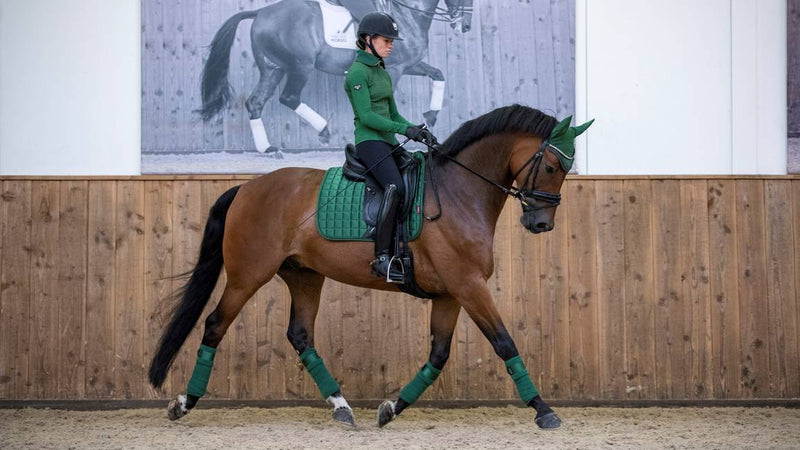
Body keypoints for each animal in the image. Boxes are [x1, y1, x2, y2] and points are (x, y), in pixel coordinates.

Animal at [150, 104, 592, 428]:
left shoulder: (450, 293)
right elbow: (504, 343)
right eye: (551, 167)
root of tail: (246, 187)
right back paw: (184, 403)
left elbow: (438, 356)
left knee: (301, 336)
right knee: (215, 325)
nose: (541, 224)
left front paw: (391, 409)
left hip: (305, 276)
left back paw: (342, 407)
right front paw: (543, 410)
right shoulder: (469, 285)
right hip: (247, 276)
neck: (459, 192)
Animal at [200, 0, 472, 153]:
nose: (465, 25)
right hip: (300, 66)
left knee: (256, 102)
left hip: (273, 69)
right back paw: (323, 131)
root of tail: (260, 13)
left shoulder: (408, 64)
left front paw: (432, 115)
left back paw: (267, 148)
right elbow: (384, 108)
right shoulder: (396, 68)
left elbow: (438, 74)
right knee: (289, 97)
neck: (407, 16)